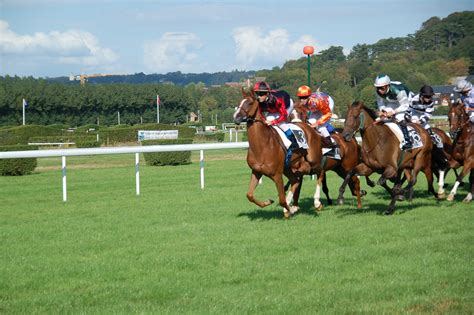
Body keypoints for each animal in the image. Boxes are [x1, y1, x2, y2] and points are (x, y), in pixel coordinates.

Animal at [233, 87, 326, 218]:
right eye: (239, 102)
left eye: (250, 103)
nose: (236, 117)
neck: (262, 146)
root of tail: (311, 129)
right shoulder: (256, 171)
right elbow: (249, 195)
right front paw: (269, 202)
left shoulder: (277, 174)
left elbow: (281, 199)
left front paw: (290, 209)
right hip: (288, 167)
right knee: (295, 180)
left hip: (313, 159)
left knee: (320, 173)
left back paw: (317, 203)